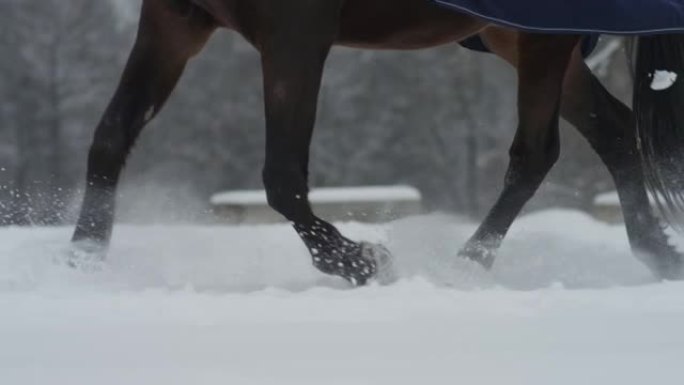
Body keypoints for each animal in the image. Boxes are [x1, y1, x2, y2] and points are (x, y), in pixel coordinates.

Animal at [71, 0, 684, 282]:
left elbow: (282, 177)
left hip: (541, 40)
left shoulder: (295, 33)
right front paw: (84, 254)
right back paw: (657, 254)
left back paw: (467, 264)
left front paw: (356, 260)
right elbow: (109, 136)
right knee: (615, 132)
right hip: (516, 36)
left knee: (536, 152)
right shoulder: (173, 20)